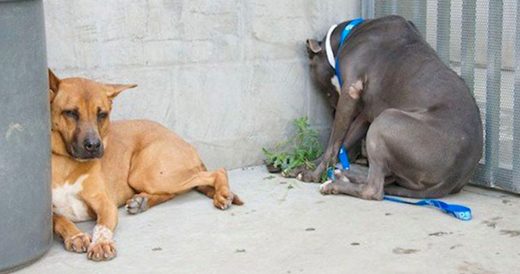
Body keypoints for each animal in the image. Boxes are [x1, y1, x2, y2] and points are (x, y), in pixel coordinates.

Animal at [48, 69, 244, 262]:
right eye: (70, 113)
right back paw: (142, 201)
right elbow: (60, 220)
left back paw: (222, 194)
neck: (66, 162)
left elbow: (101, 227)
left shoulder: (106, 205)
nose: (95, 146)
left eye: (102, 114)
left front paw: (101, 243)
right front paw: (76, 235)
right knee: (173, 192)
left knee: (217, 172)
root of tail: (185, 142)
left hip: (148, 175)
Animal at [300, 15, 484, 199]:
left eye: (325, 91)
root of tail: (452, 178)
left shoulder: (350, 92)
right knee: (386, 179)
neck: (347, 36)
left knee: (374, 188)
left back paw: (335, 184)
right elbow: (345, 139)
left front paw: (313, 175)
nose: (332, 110)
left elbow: (334, 144)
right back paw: (344, 175)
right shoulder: (365, 112)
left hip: (386, 121)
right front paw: (306, 166)